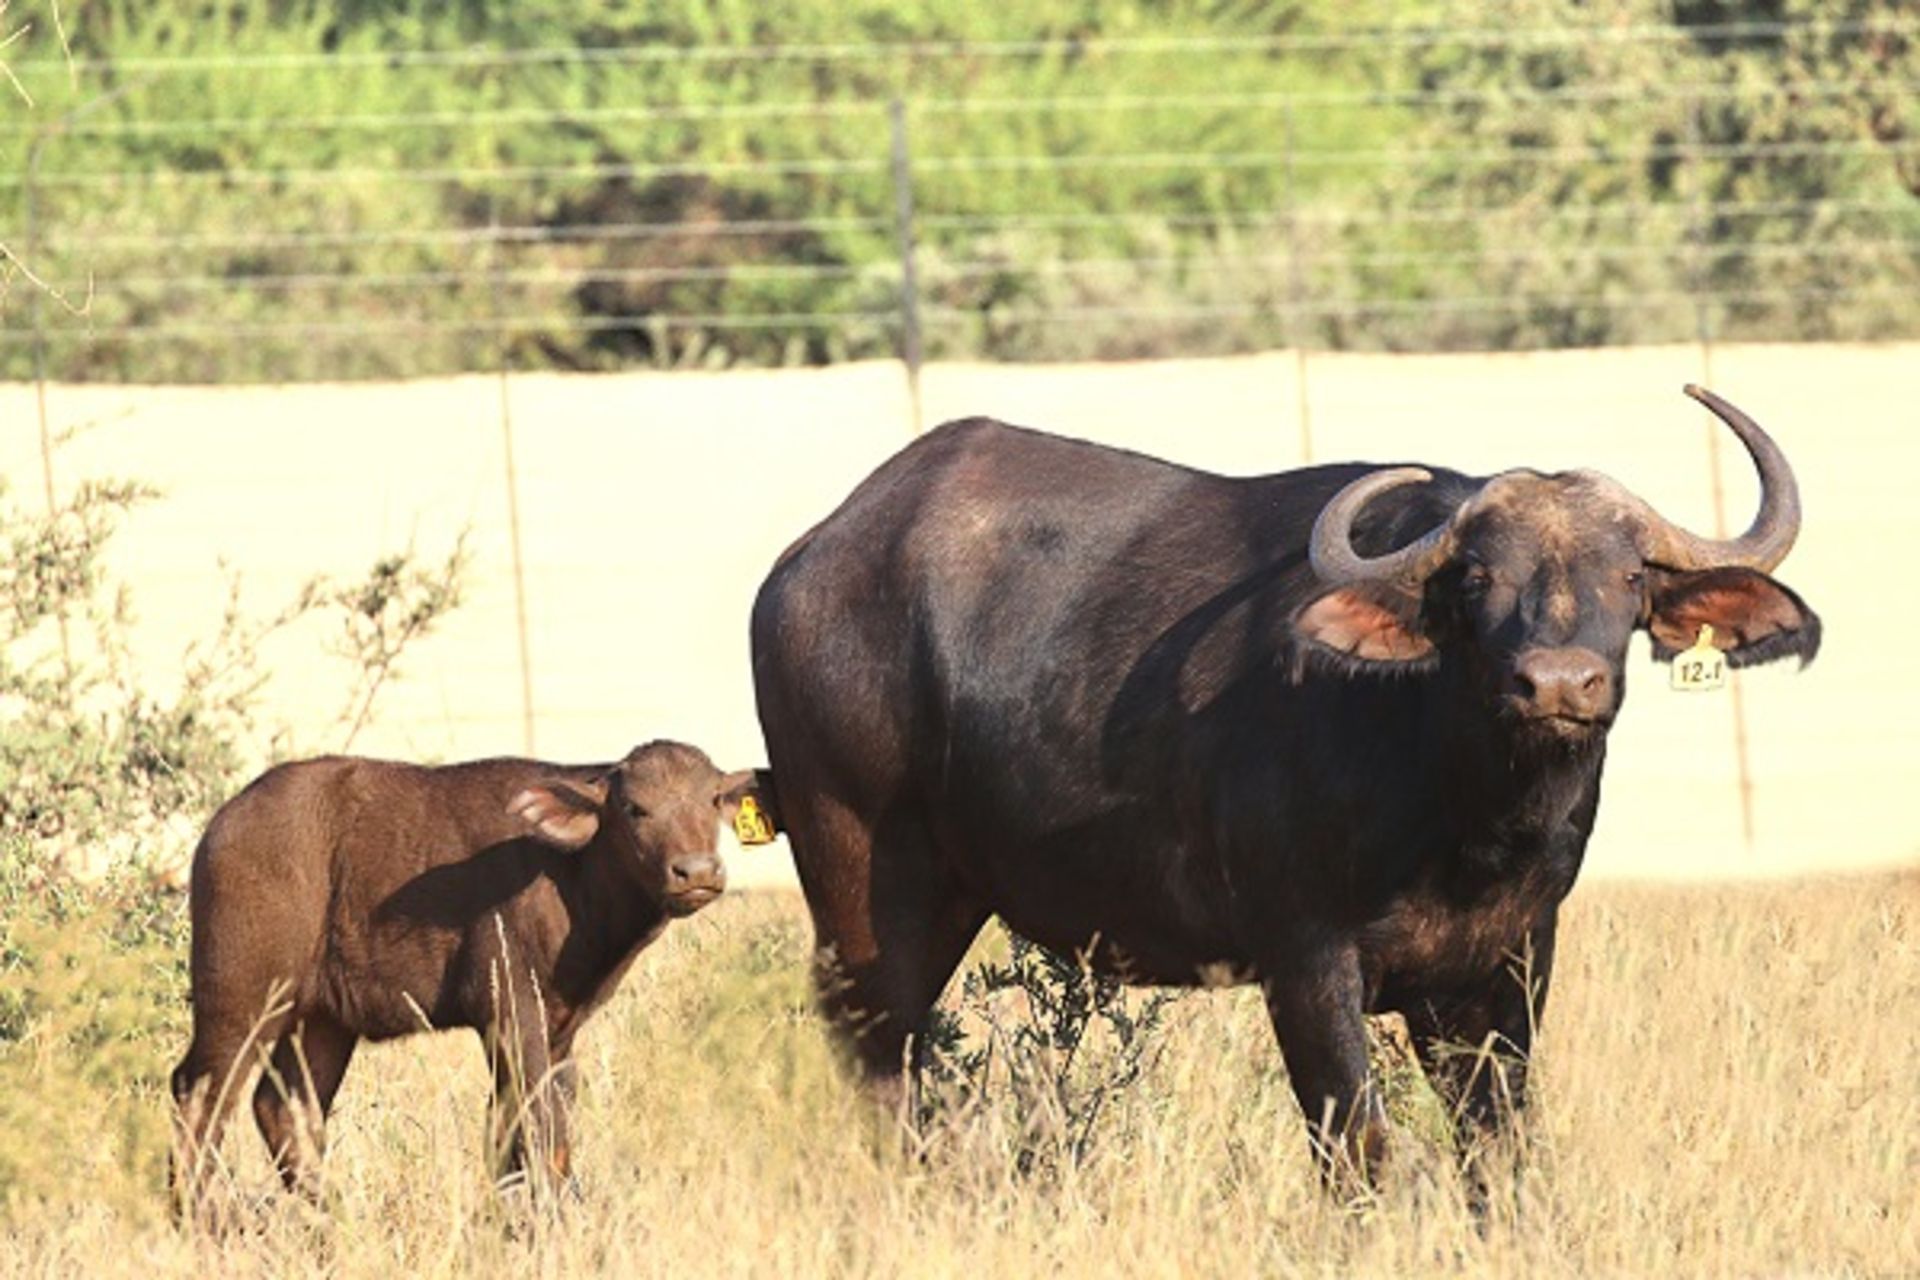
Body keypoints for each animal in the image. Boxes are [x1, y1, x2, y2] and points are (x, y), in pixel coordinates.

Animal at [170, 740, 771, 1212]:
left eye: (712, 799)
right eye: (632, 807)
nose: (695, 871)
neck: (573, 873)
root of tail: (221, 826)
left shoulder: (560, 1027)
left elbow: (533, 1130)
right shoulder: (509, 1010)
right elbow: (536, 1124)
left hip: (320, 1020)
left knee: (285, 1108)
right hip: (241, 998)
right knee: (198, 1096)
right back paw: (201, 1221)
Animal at [748, 387, 1812, 1182]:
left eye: (1629, 577)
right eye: (1474, 577)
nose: (1556, 684)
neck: (1460, 810)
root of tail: (809, 561)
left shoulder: (1506, 967)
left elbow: (1499, 1155)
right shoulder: (1306, 962)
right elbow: (1363, 1149)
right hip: (859, 885)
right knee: (878, 1062)